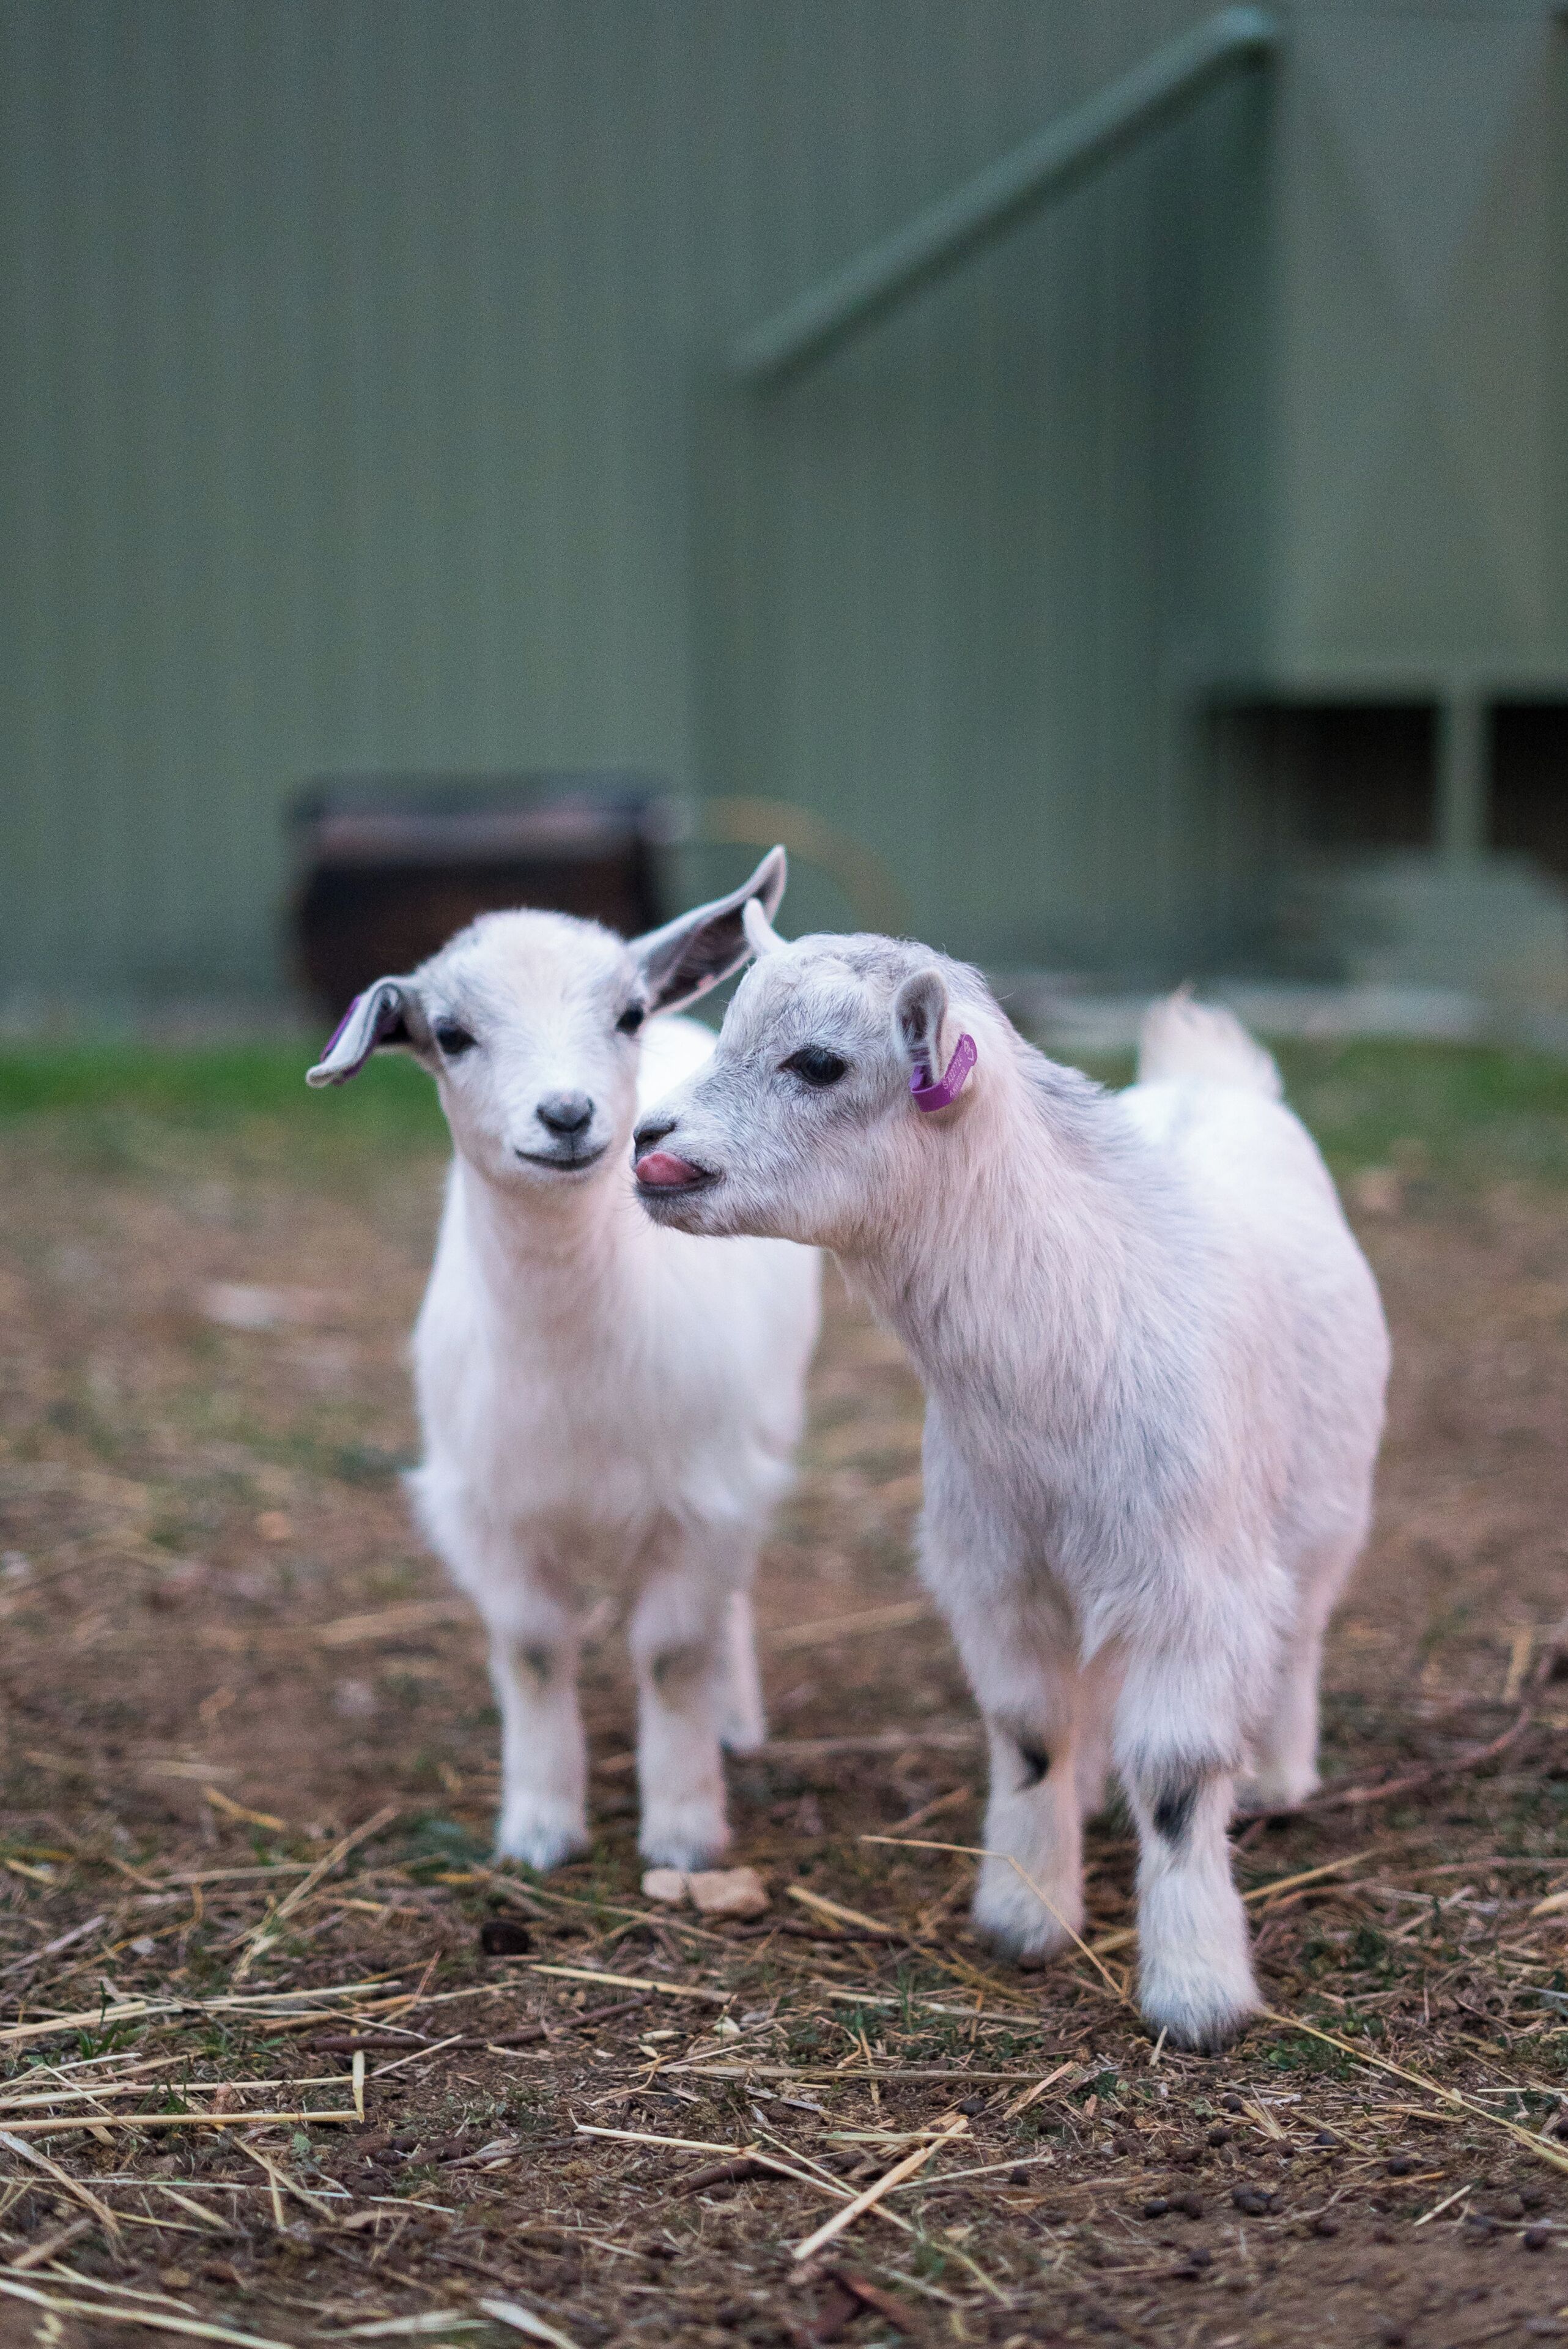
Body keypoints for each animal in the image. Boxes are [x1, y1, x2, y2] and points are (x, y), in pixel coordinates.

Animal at [307, 851, 821, 1872]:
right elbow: (536, 1651)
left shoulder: (704, 1498)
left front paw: (685, 1833)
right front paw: (540, 1827)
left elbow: (672, 1654)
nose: (568, 1114)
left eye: (627, 1013)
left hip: (763, 1429)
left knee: (730, 1601)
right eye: (451, 1034)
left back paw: (736, 1719)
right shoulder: (488, 1509)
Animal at [631, 911, 1389, 2050]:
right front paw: (1025, 1915)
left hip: (1323, 1501)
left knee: (1297, 1628)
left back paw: (1274, 1775)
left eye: (819, 1063)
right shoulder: (997, 1564)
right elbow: (1031, 1731)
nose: (645, 1141)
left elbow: (1177, 1776)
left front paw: (1196, 1990)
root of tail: (1213, 1082)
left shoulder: (1191, 1579)